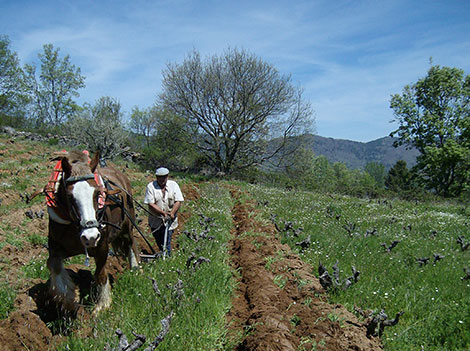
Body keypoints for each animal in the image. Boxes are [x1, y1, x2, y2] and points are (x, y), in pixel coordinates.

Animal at [45, 151, 139, 316]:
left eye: (97, 194)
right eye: (70, 196)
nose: (90, 237)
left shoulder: (102, 247)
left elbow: (100, 274)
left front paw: (102, 305)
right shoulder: (55, 246)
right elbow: (54, 266)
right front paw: (70, 300)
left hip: (127, 226)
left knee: (130, 245)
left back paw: (134, 269)